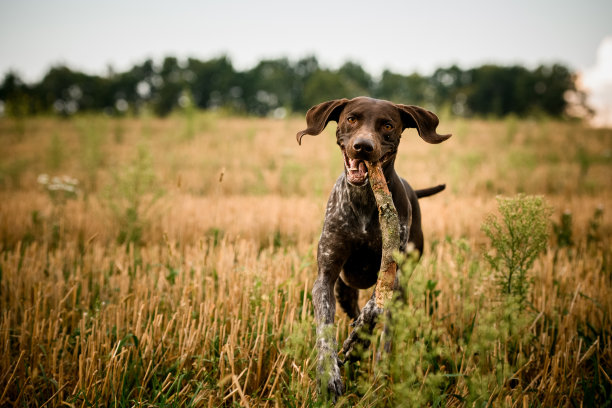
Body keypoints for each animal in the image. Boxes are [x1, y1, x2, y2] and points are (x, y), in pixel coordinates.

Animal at [296, 97, 450, 396]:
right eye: (351, 119)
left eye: (387, 125)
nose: (363, 146)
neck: (367, 199)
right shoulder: (325, 278)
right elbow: (325, 329)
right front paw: (329, 375)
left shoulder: (394, 274)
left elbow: (374, 306)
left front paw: (359, 338)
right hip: (344, 290)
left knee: (385, 334)